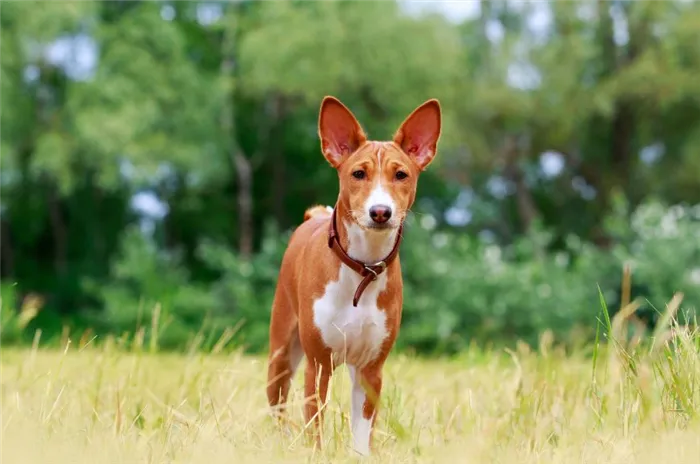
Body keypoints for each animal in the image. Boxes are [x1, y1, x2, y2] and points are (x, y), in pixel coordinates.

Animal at [266, 96, 440, 454]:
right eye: (358, 173)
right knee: (276, 404)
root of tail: (313, 216)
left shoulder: (371, 368)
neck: (363, 269)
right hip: (282, 352)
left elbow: (362, 433)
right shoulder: (318, 365)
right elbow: (314, 426)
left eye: (401, 174)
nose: (380, 211)